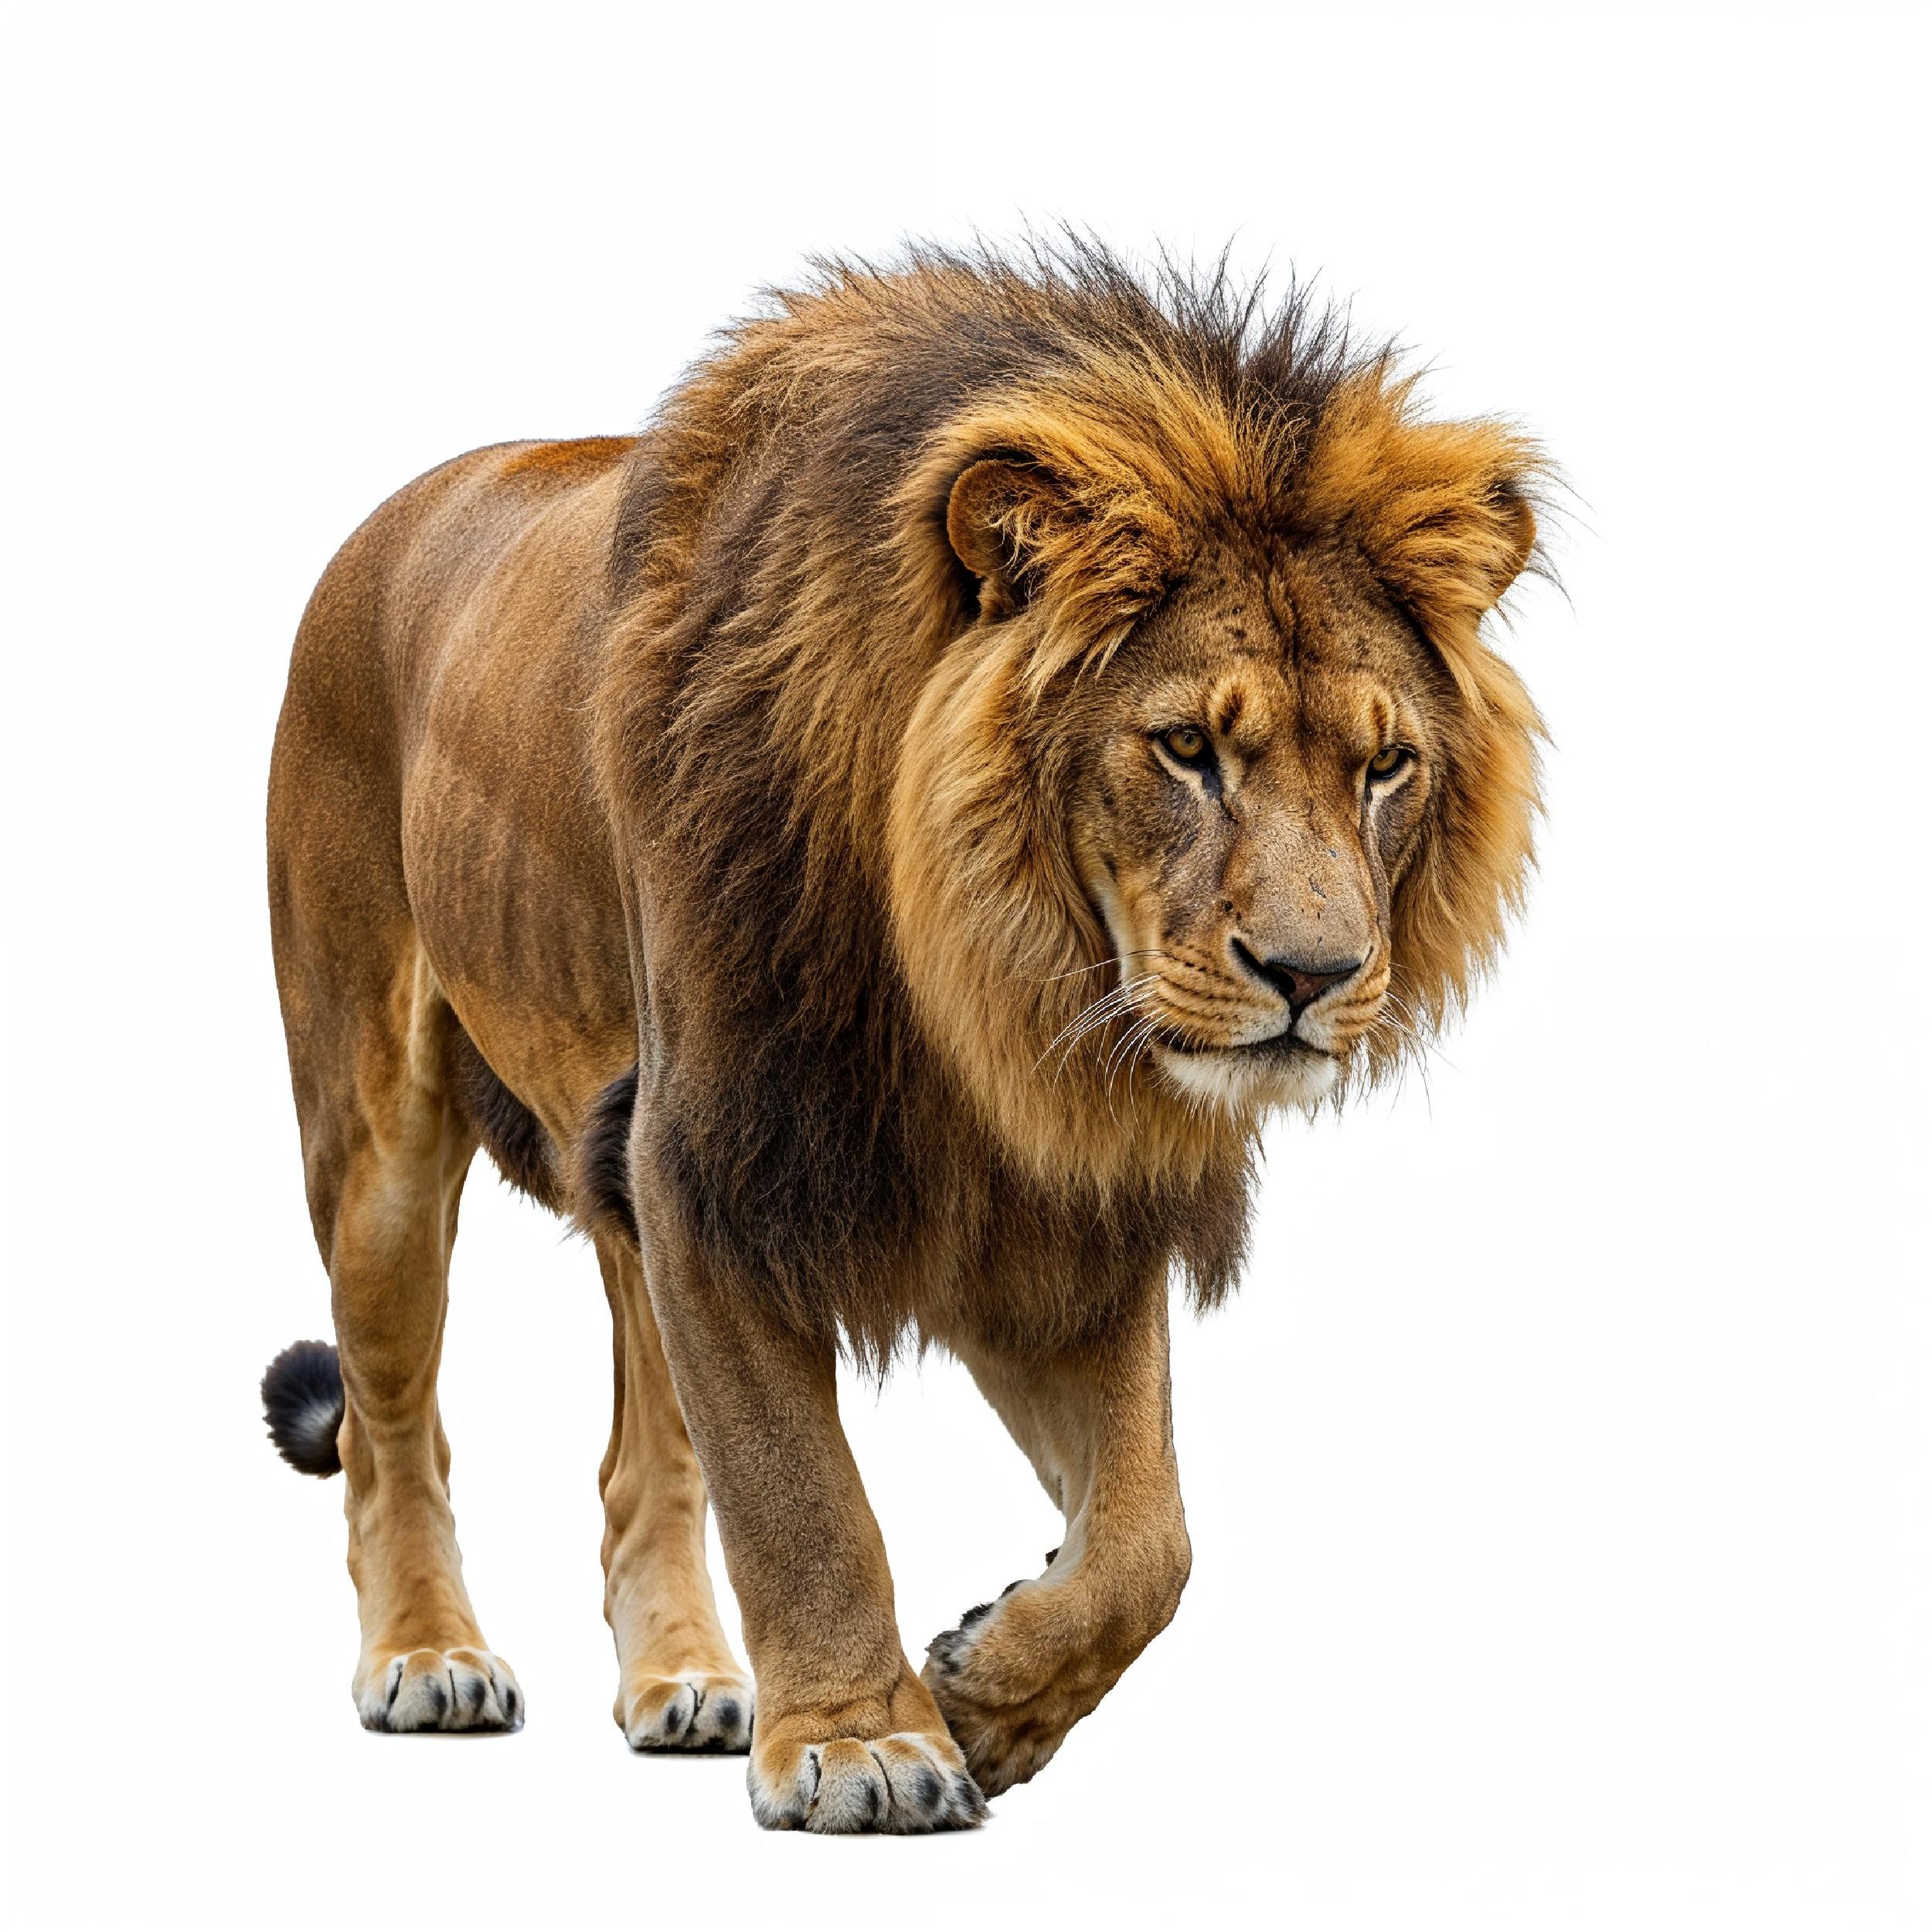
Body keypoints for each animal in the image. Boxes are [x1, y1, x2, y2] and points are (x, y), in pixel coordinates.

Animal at [261, 239, 1549, 1833]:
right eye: (1187, 748)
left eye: (1386, 767)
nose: (1315, 974)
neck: (989, 992)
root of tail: (395, 511)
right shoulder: (715, 1162)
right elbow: (802, 1494)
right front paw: (865, 1745)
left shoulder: (1059, 1209)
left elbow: (1151, 1540)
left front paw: (989, 1689)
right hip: (376, 1132)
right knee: (394, 1430)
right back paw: (428, 1657)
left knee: (642, 1461)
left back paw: (686, 1681)